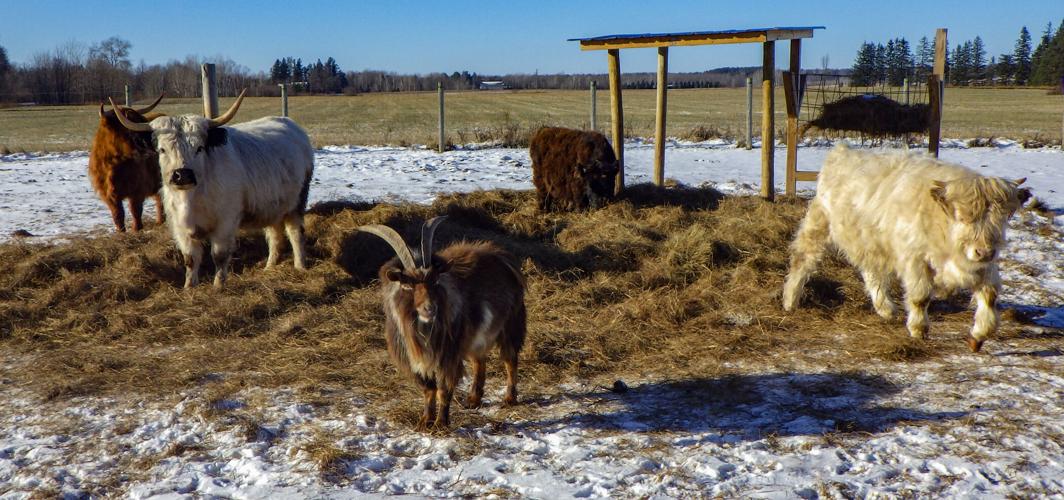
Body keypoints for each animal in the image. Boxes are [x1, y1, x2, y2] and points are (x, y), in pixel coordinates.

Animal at [89, 94, 166, 232]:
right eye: (131, 128)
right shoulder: (108, 195)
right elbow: (118, 215)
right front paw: (121, 232)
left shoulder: (137, 191)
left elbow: (135, 211)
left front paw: (136, 230)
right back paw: (160, 221)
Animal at [109, 90, 314, 288]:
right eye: (162, 149)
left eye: (199, 148)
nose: (182, 174)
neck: (192, 197)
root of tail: (291, 125)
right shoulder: (181, 228)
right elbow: (190, 259)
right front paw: (189, 287)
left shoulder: (225, 223)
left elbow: (219, 256)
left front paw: (218, 286)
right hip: (272, 207)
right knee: (274, 234)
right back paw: (270, 267)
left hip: (297, 202)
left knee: (295, 233)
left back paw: (300, 266)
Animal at [782, 144, 1030, 352]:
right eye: (962, 217)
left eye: (1001, 219)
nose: (984, 251)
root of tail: (842, 151)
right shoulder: (914, 259)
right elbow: (920, 296)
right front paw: (919, 330)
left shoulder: (982, 265)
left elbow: (990, 294)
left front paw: (978, 335)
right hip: (819, 225)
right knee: (803, 260)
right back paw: (790, 301)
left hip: (871, 242)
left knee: (872, 273)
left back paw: (885, 309)